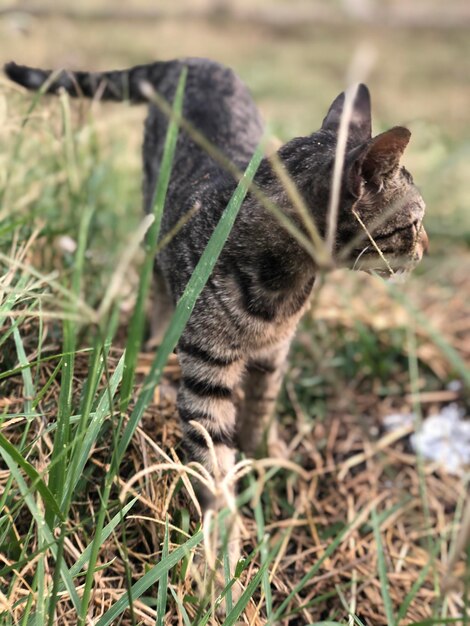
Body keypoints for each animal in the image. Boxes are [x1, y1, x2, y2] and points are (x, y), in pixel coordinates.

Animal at [4, 58, 430, 596]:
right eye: (413, 224)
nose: (427, 247)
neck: (284, 289)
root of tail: (192, 60)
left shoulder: (275, 353)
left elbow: (263, 407)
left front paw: (265, 450)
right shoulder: (208, 377)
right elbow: (215, 470)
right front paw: (221, 556)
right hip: (153, 217)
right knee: (156, 280)